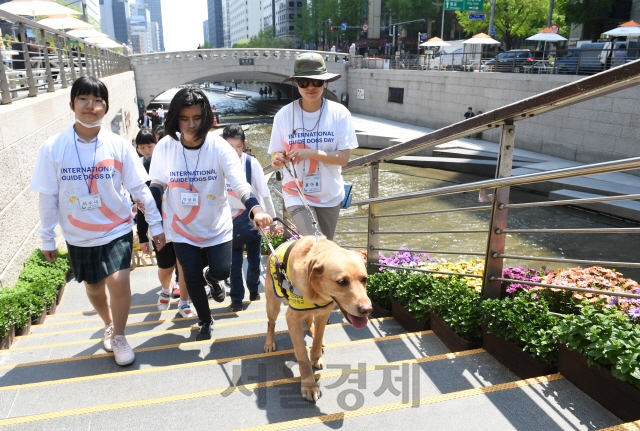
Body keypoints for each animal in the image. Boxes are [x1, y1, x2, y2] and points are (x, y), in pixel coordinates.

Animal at [264, 236, 372, 402]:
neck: (317, 292)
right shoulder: (292, 318)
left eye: (364, 279)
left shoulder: (323, 314)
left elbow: (317, 338)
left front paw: (316, 357)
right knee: (271, 323)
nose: (367, 310)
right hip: (273, 305)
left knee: (309, 321)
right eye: (342, 282)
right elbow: (302, 354)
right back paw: (269, 343)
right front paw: (309, 385)